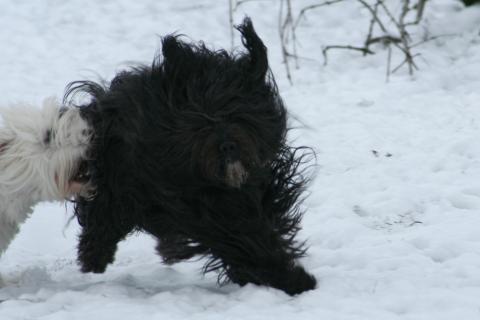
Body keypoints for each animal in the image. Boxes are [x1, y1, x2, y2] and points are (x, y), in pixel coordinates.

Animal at [66, 18, 316, 296]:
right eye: (200, 120)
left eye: (240, 114)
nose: (227, 146)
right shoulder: (200, 206)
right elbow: (243, 239)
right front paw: (293, 279)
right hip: (114, 176)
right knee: (104, 216)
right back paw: (94, 258)